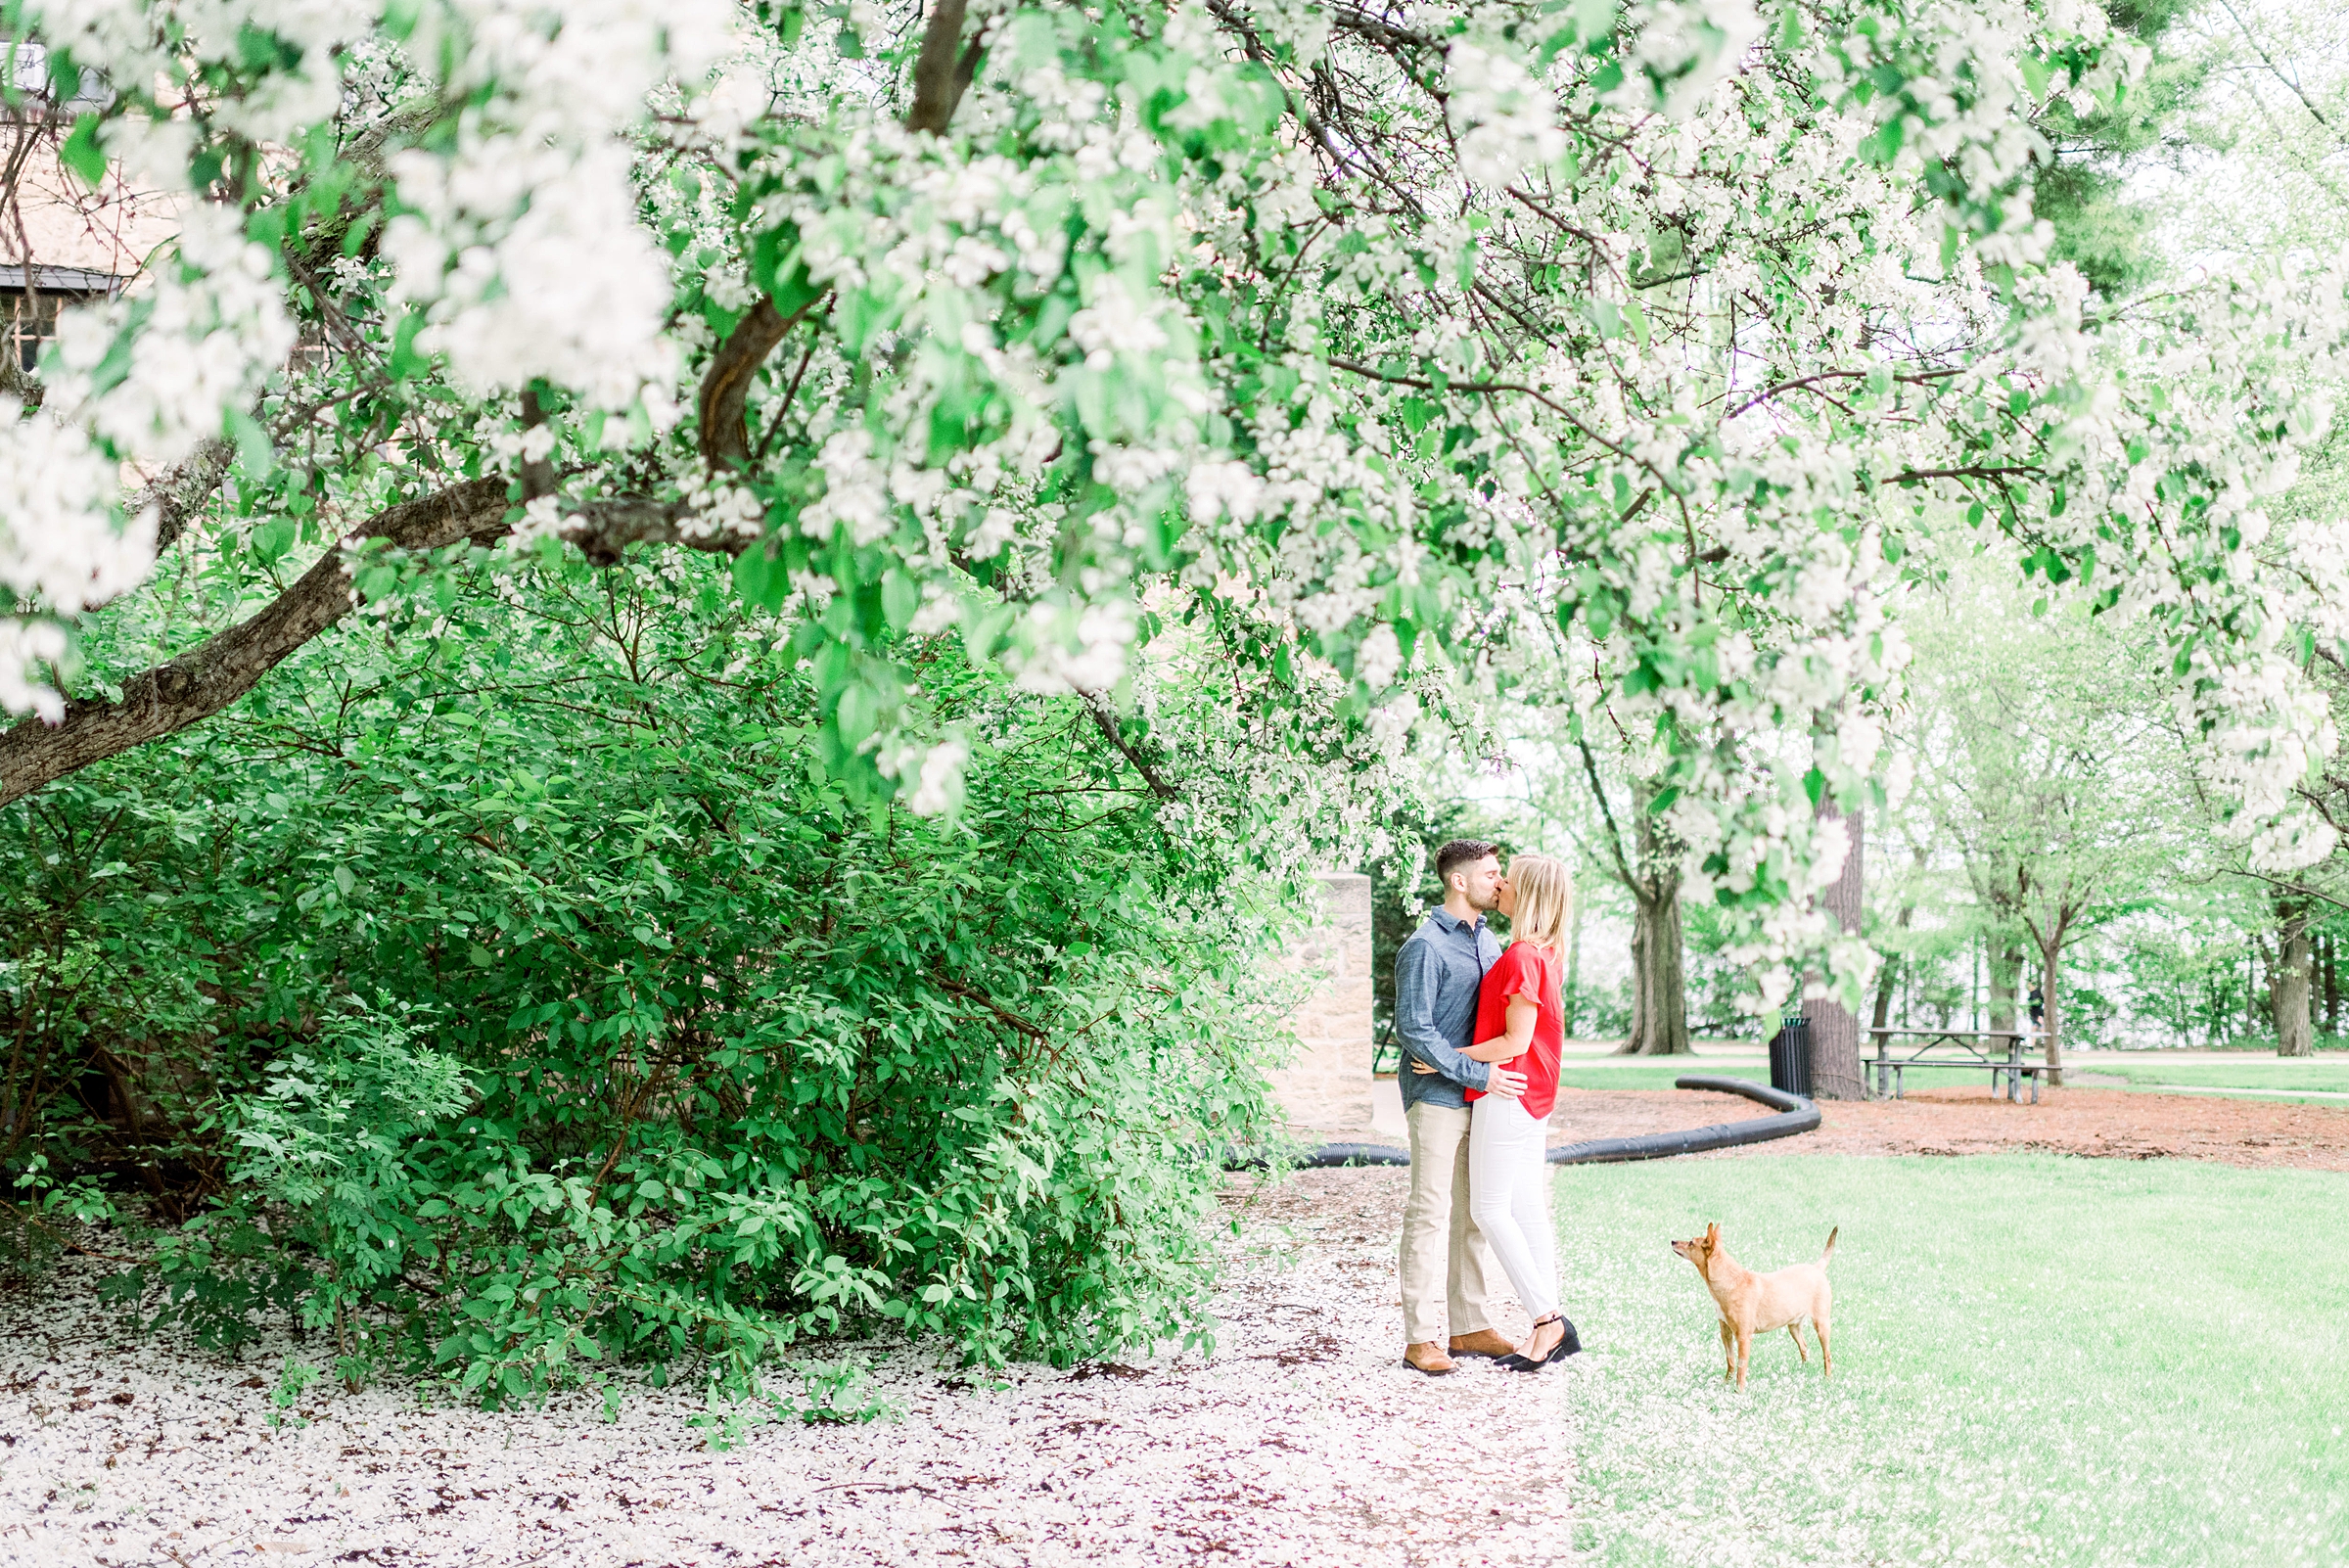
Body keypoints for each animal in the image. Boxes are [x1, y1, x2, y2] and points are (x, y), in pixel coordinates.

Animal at [1672, 1221, 1832, 1389]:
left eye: (1691, 1242)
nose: (1672, 1241)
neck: (1729, 1282)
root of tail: (1816, 1268)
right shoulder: (1726, 1333)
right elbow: (1730, 1361)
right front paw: (1726, 1383)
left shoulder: (1743, 1337)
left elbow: (1741, 1368)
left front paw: (1739, 1391)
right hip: (1793, 1326)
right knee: (1804, 1346)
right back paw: (1803, 1371)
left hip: (1821, 1325)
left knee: (1827, 1354)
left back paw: (1827, 1379)